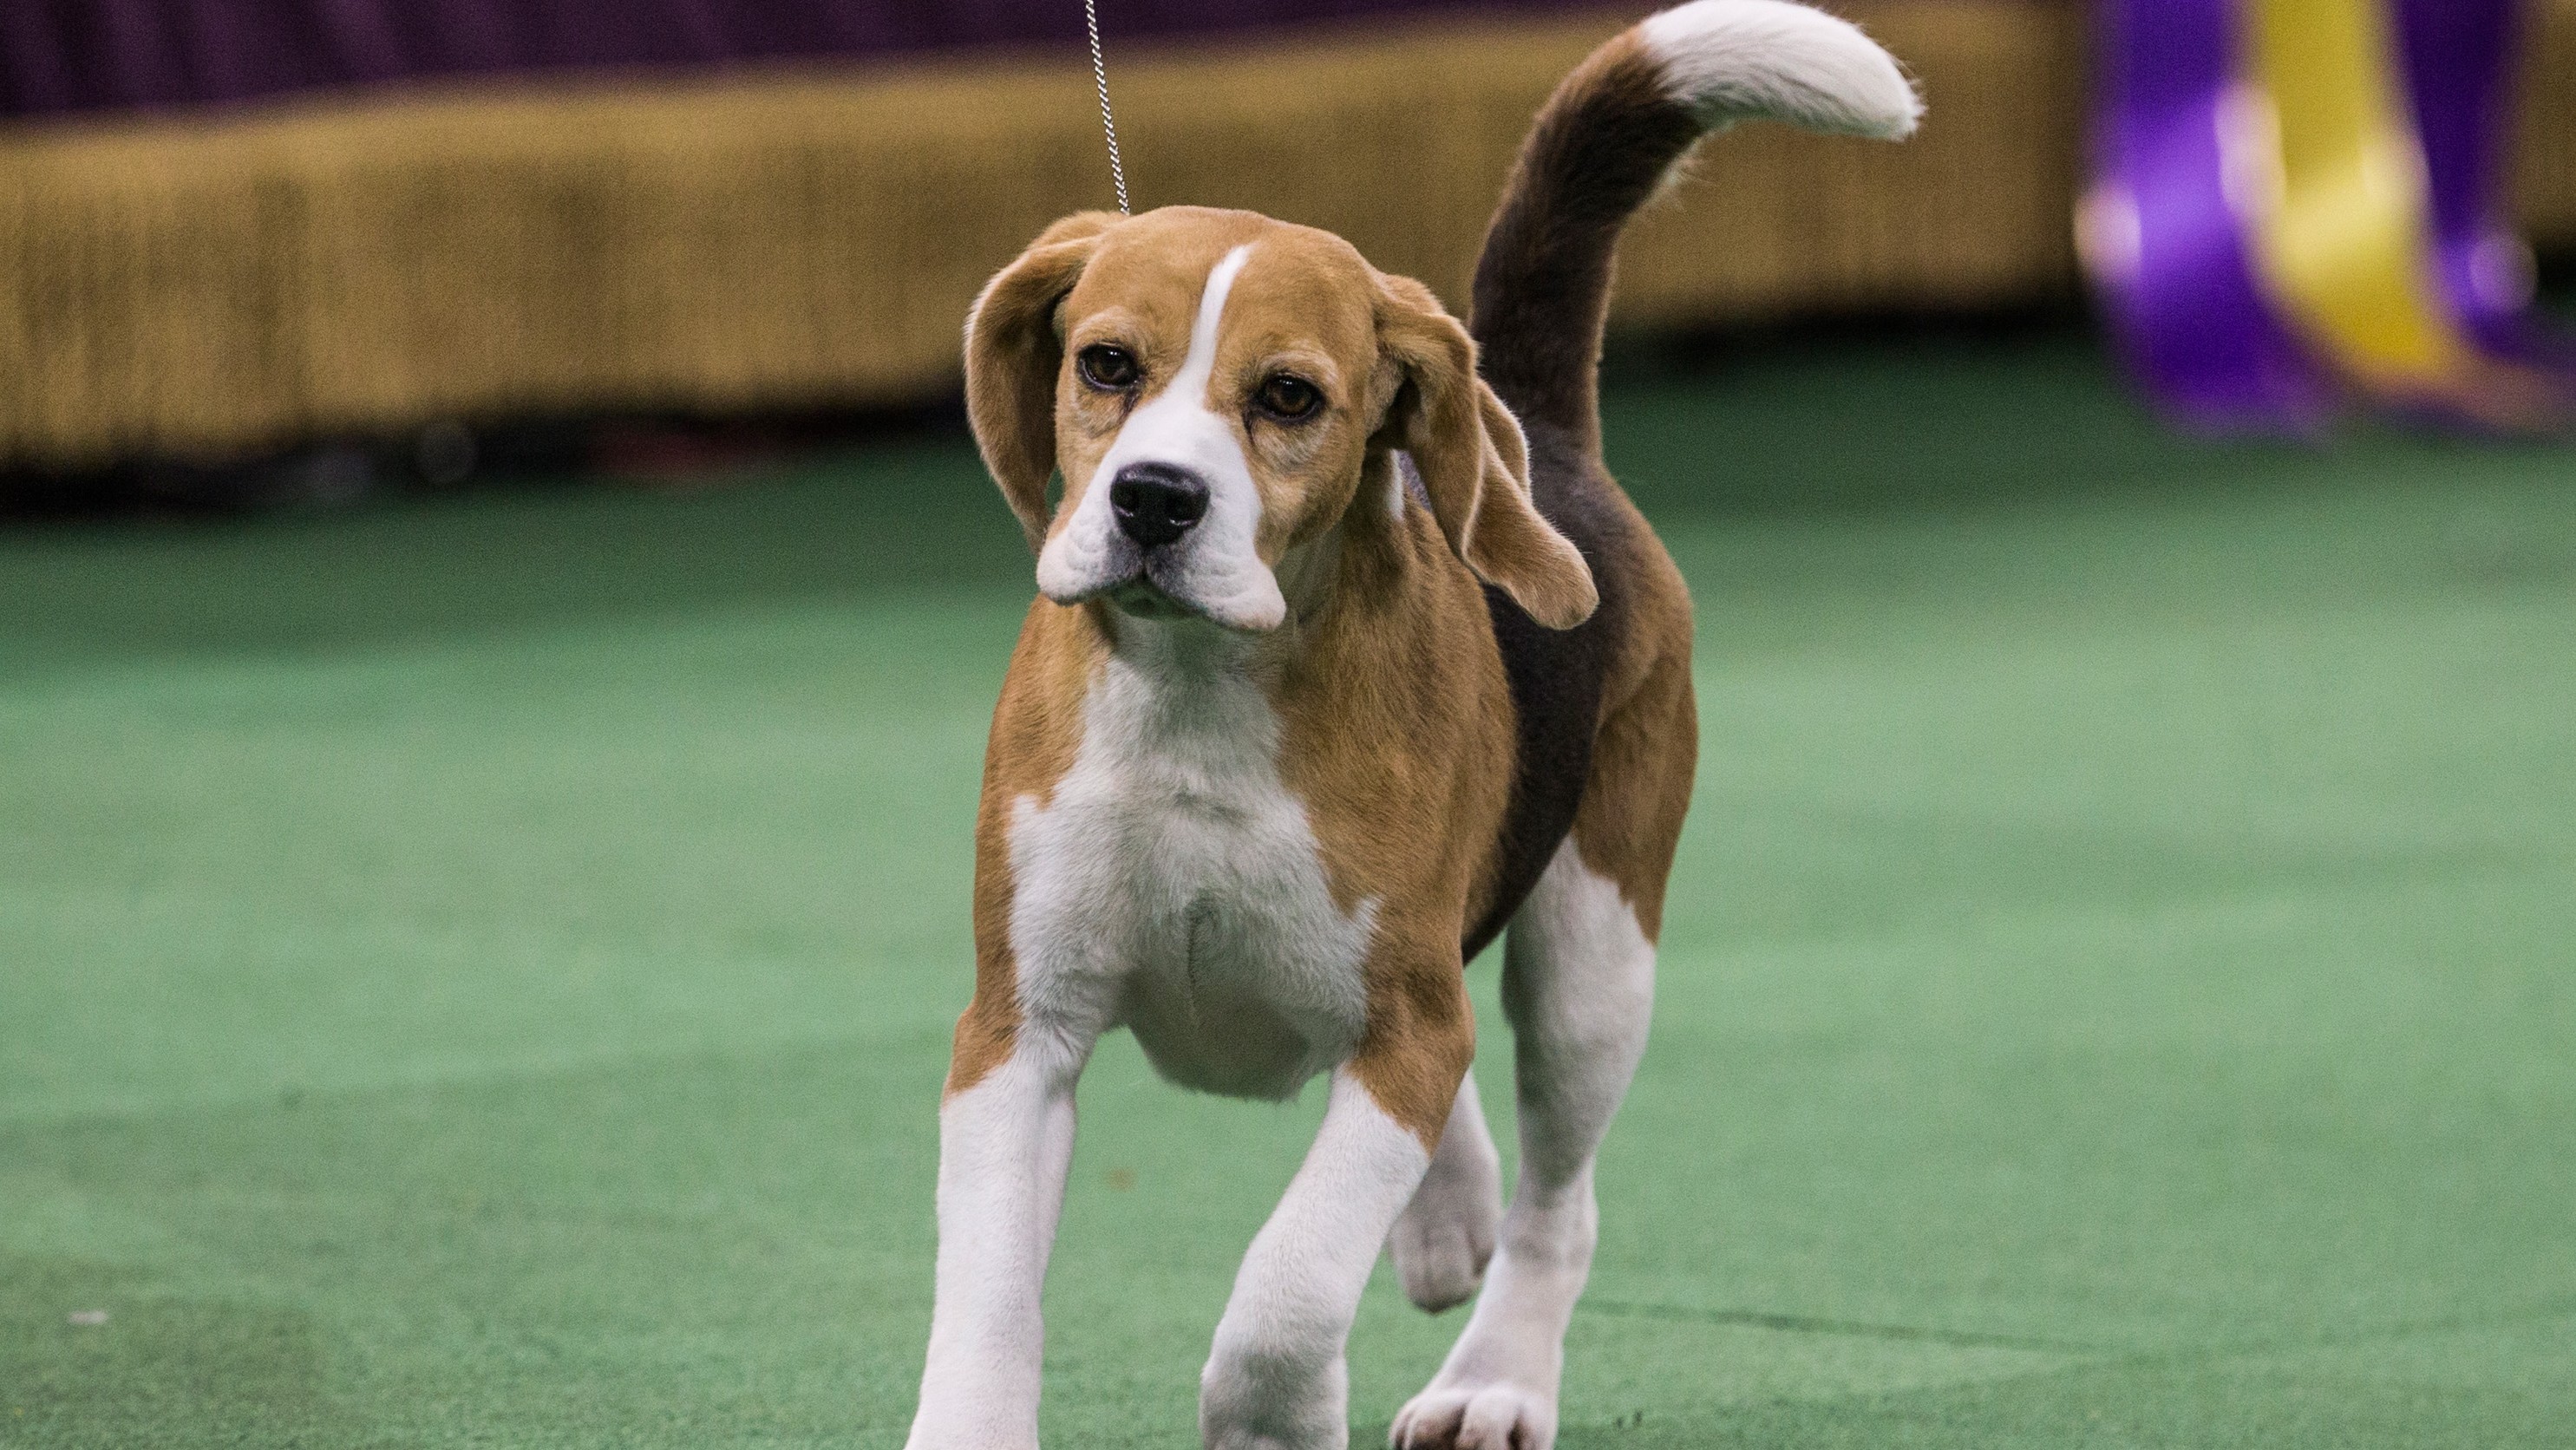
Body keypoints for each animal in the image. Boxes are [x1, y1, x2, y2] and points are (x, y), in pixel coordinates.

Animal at [906, 5, 1916, 1442]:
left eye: (1287, 397)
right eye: (1104, 364)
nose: (1154, 499)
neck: (1200, 695)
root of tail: (1539, 432)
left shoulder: (1403, 1037)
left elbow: (1285, 1291)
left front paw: (1271, 1413)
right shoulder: (1015, 1032)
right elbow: (988, 1298)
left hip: (1593, 958)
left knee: (1561, 1207)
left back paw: (1493, 1382)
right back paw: (1449, 1223)